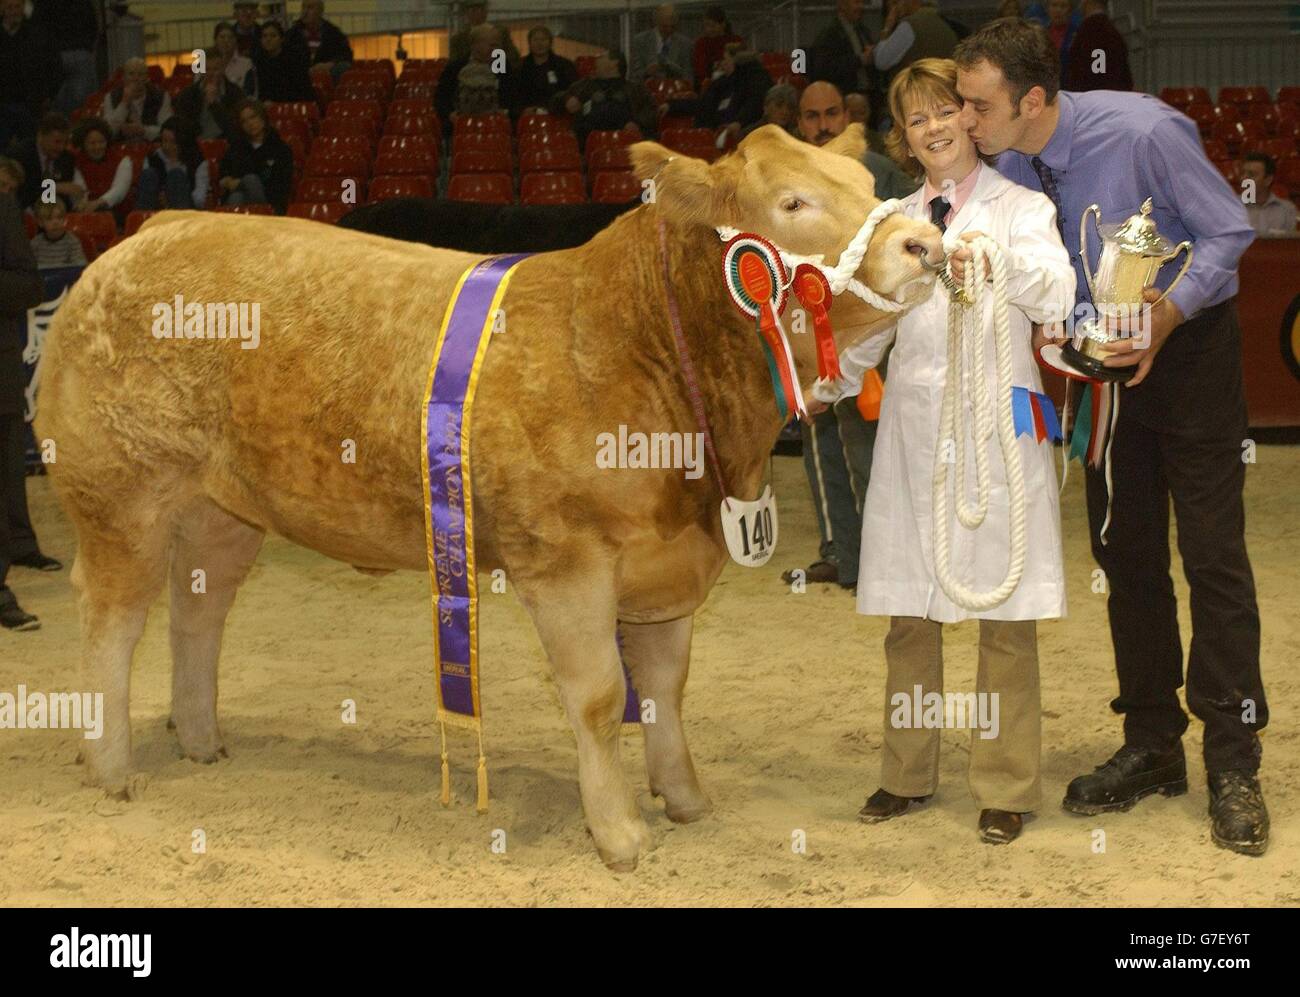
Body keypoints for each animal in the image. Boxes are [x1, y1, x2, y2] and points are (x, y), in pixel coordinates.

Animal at [35, 124, 941, 868]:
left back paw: (200, 738)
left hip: (221, 508)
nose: (927, 241)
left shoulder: (671, 560)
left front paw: (685, 798)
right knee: (112, 618)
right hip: (120, 491)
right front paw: (619, 834)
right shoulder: (567, 561)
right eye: (793, 201)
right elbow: (599, 696)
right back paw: (110, 764)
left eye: (868, 183)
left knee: (199, 609)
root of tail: (156, 228)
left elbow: (666, 686)